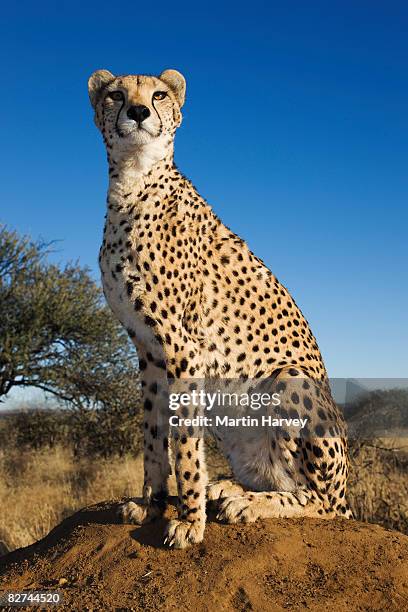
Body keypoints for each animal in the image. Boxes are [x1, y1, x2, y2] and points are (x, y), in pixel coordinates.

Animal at [87, 67, 352, 548]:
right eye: (116, 94)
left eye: (158, 94)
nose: (138, 112)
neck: (133, 183)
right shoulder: (147, 350)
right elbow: (154, 434)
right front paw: (151, 504)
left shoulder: (182, 348)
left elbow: (186, 445)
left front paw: (190, 522)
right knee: (280, 479)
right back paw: (232, 488)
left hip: (288, 380)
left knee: (322, 503)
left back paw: (250, 504)